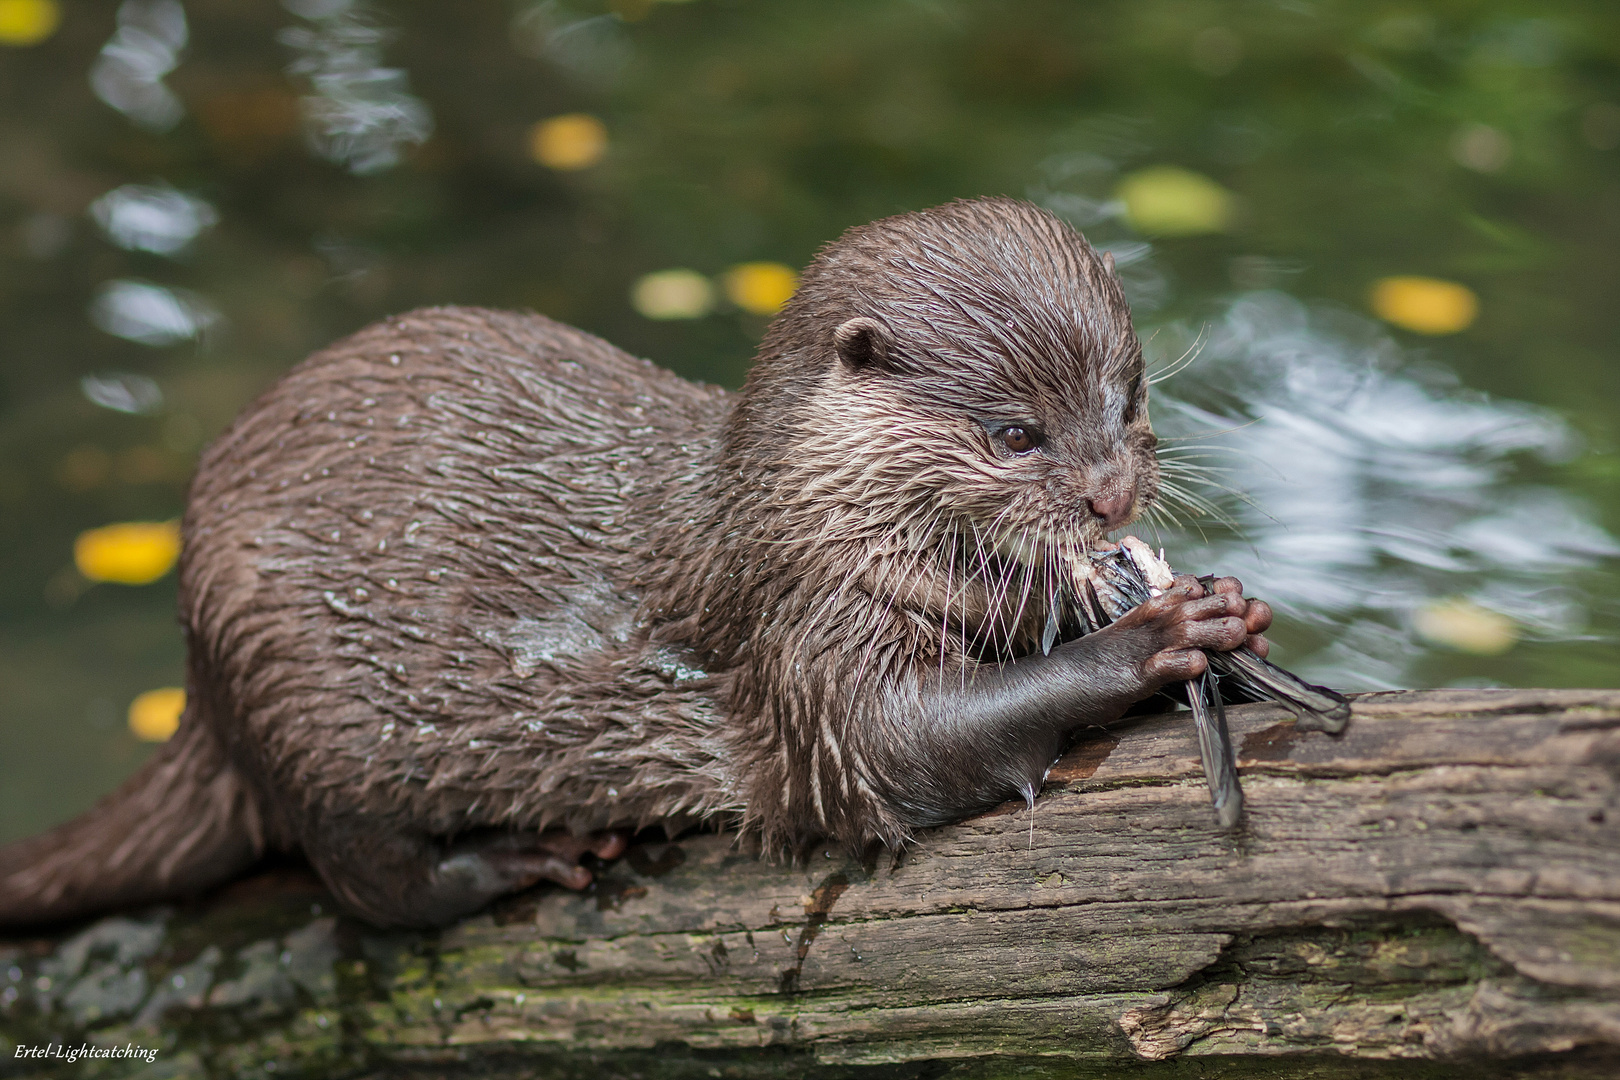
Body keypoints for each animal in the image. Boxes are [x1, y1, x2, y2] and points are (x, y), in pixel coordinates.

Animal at [0, 196, 1263, 932]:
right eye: (1012, 434)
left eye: (1130, 400)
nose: (1111, 493)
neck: (796, 520)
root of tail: (196, 672)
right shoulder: (795, 634)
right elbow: (895, 749)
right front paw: (1158, 634)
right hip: (289, 681)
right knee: (368, 881)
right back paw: (525, 858)